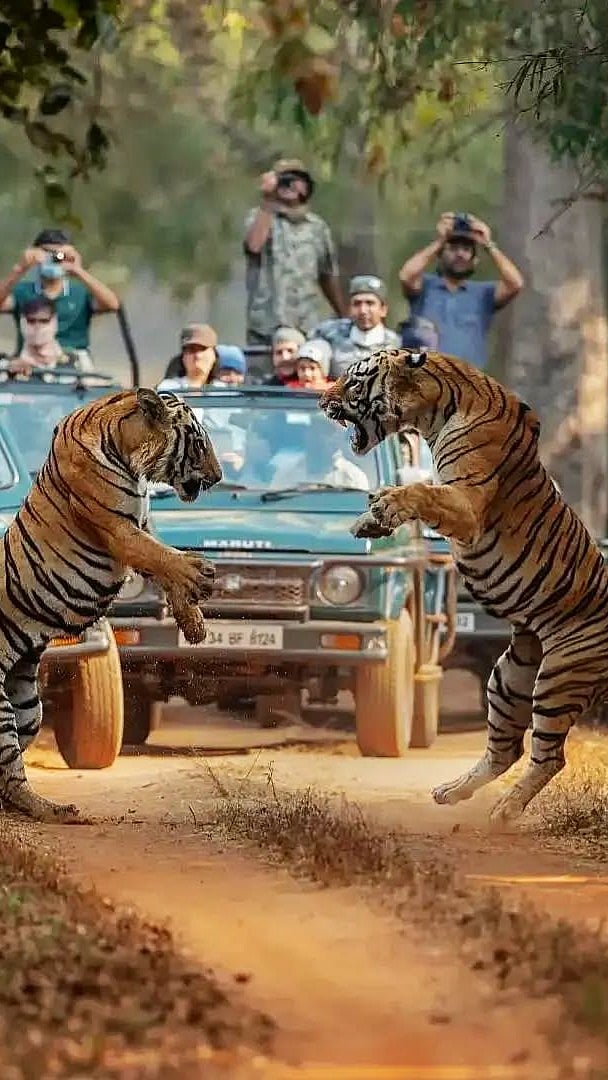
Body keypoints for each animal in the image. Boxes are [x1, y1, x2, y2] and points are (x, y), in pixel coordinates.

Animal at [0, 387, 221, 824]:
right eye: (199, 443)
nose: (220, 476)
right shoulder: (119, 531)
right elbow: (163, 557)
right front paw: (200, 574)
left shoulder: (142, 525)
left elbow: (162, 566)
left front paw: (194, 624)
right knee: (10, 768)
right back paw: (57, 811)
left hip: (27, 708)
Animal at [320, 347, 608, 825]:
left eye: (354, 380)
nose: (322, 400)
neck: (434, 410)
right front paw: (368, 521)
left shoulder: (466, 503)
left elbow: (421, 490)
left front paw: (384, 503)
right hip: (509, 678)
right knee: (505, 751)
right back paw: (451, 793)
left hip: (558, 677)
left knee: (549, 756)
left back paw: (504, 813)